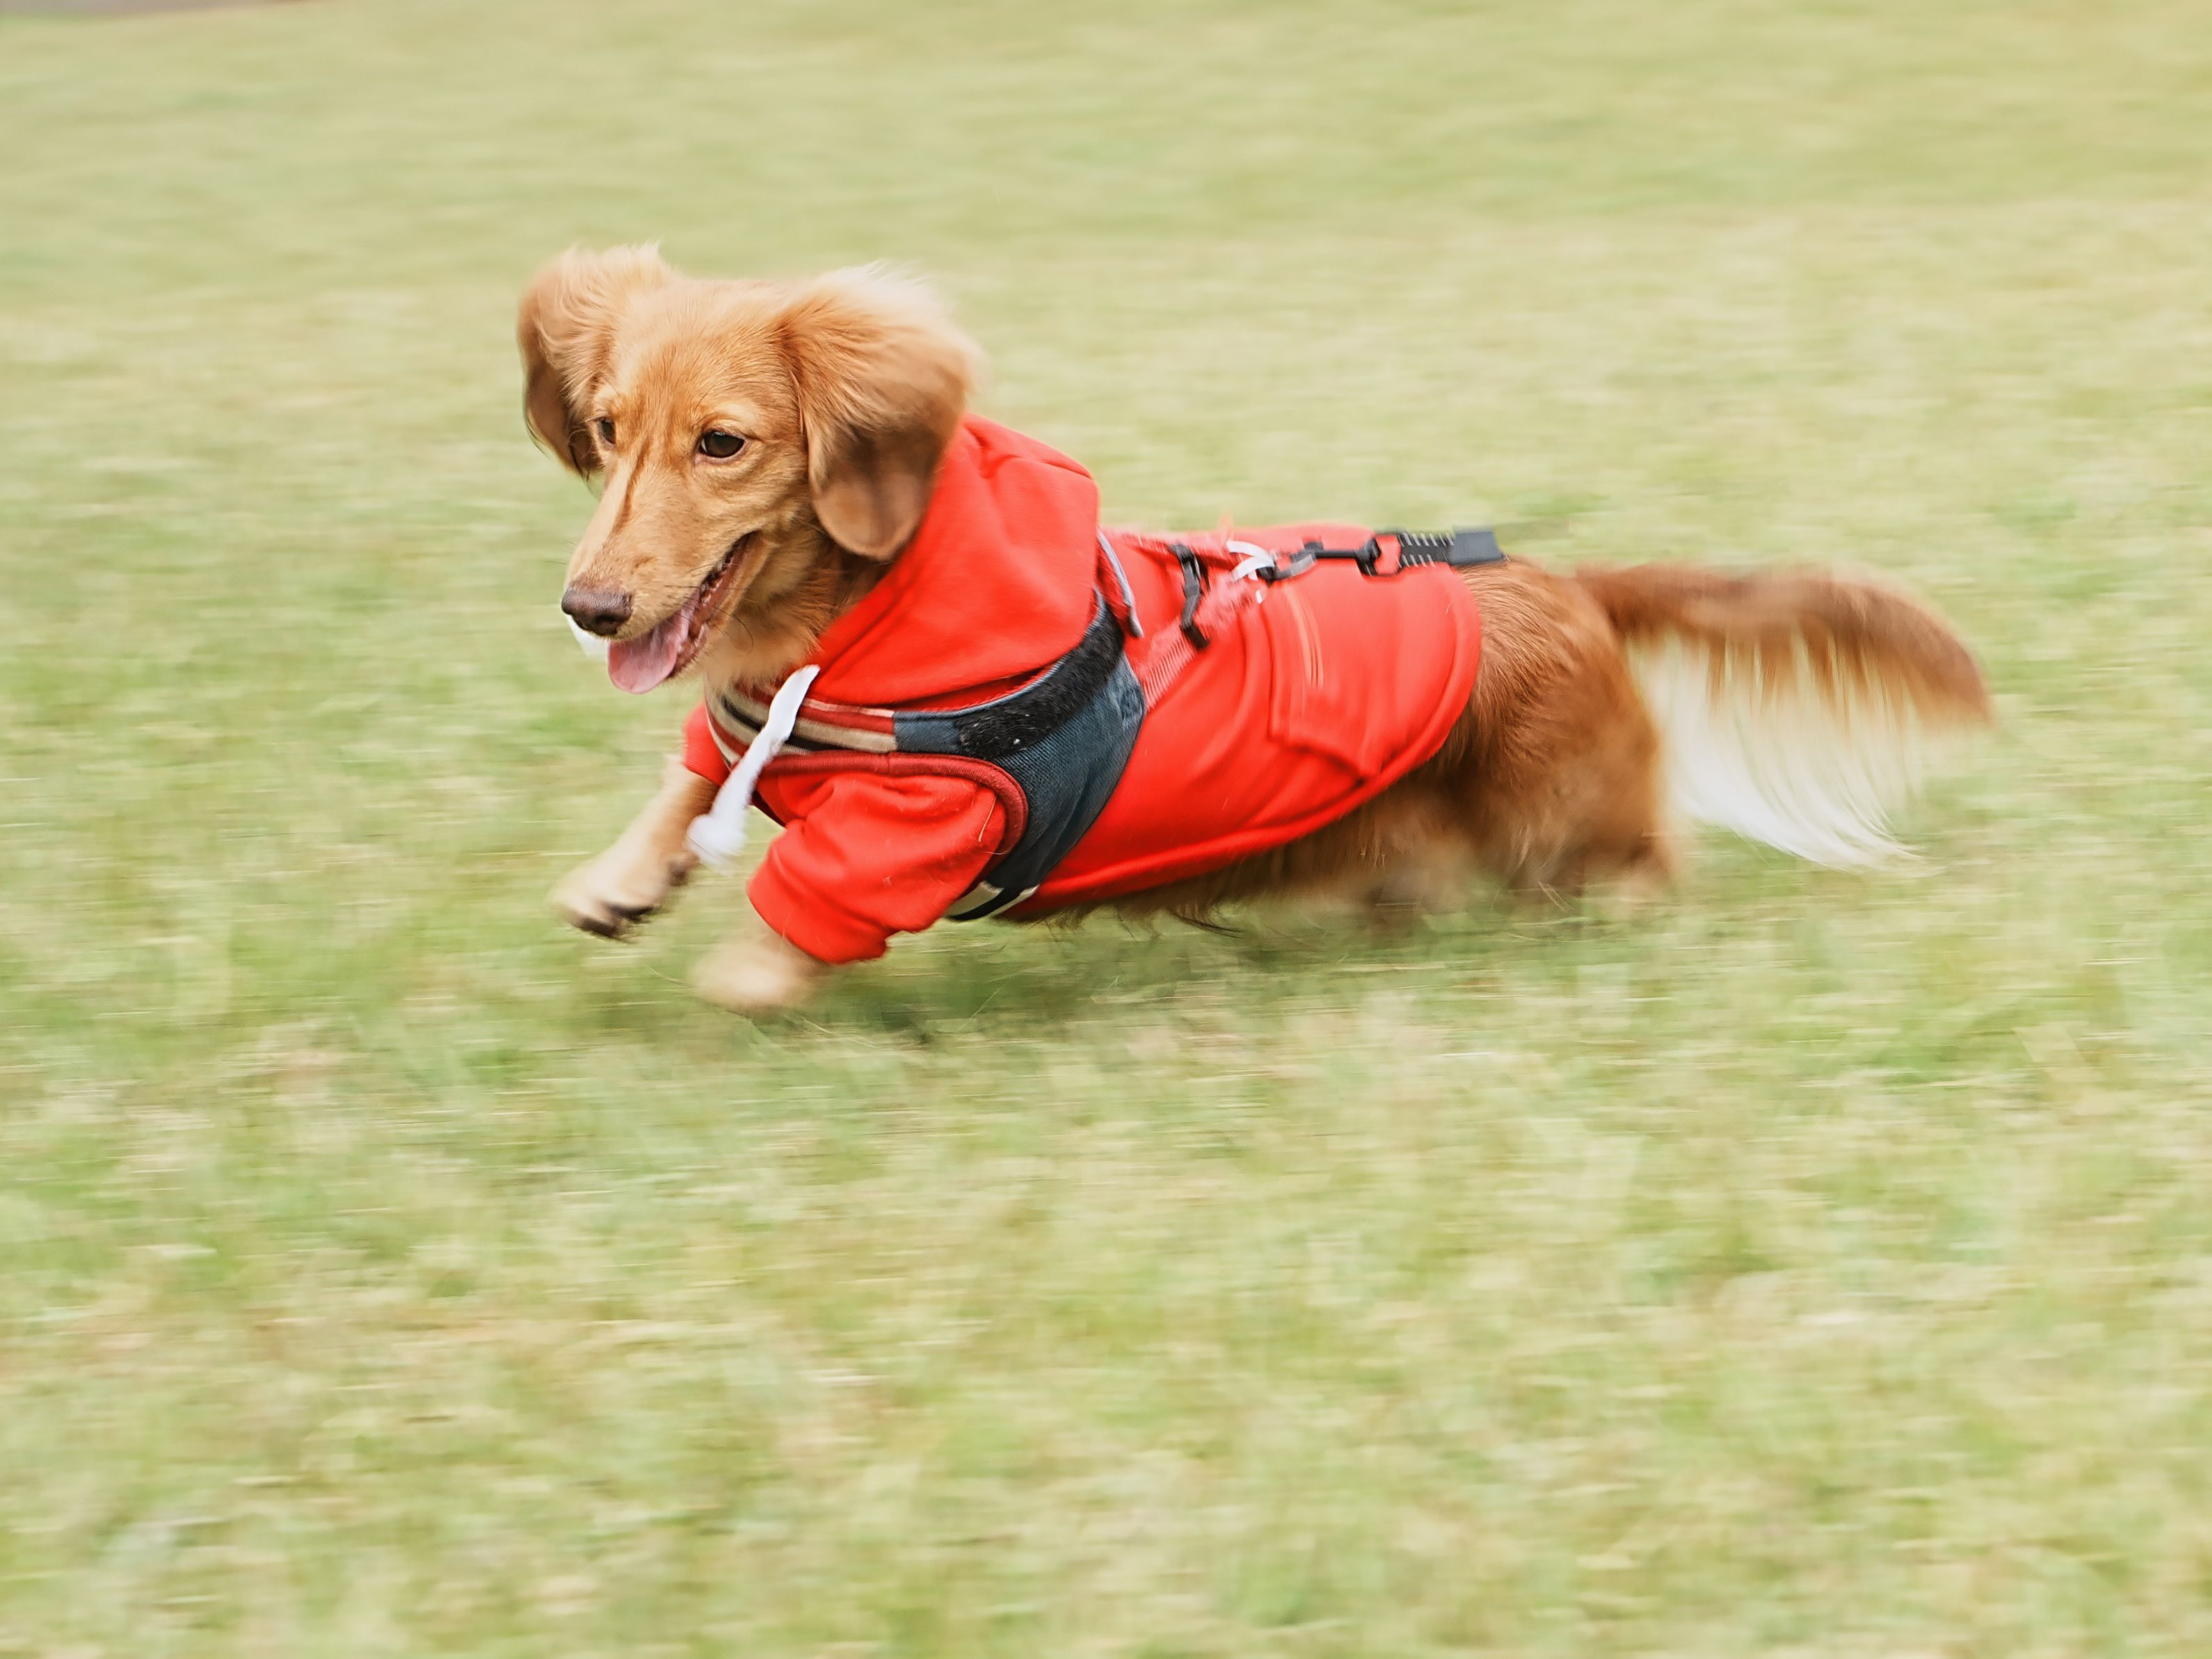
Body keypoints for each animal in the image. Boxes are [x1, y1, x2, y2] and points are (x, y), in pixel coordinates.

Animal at [519, 246, 1991, 1016]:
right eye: (607, 427)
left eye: (723, 444)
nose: (590, 608)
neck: (853, 629)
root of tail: (1564, 582)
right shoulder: (746, 730)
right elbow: (698, 774)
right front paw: (620, 879)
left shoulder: (922, 826)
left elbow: (803, 902)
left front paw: (738, 979)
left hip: (1570, 831)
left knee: (1640, 867)